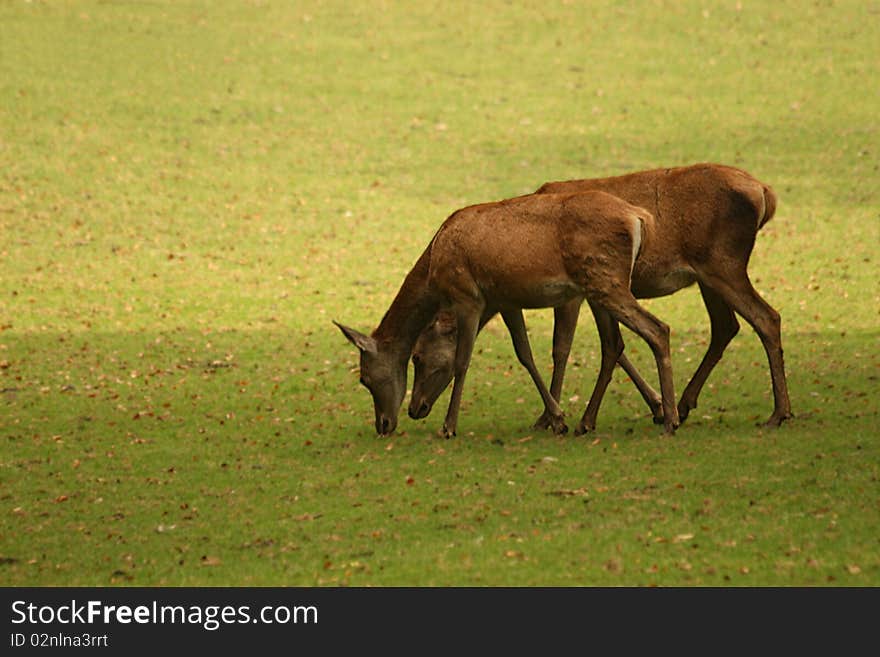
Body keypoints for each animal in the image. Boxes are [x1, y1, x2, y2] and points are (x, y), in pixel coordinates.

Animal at [336, 187, 680, 438]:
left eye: (365, 378)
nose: (386, 423)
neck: (435, 261)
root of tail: (638, 216)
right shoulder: (506, 301)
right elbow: (524, 354)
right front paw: (557, 419)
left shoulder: (468, 296)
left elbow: (462, 361)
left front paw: (449, 426)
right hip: (600, 287)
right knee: (613, 345)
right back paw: (588, 422)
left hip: (605, 280)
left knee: (657, 328)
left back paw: (671, 419)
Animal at [410, 163, 796, 430]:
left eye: (417, 356)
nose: (413, 409)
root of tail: (766, 193)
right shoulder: (585, 295)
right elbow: (612, 347)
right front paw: (655, 406)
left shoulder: (571, 295)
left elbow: (564, 347)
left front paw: (551, 417)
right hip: (706, 278)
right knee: (726, 327)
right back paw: (685, 406)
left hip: (723, 265)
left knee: (765, 317)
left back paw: (777, 413)